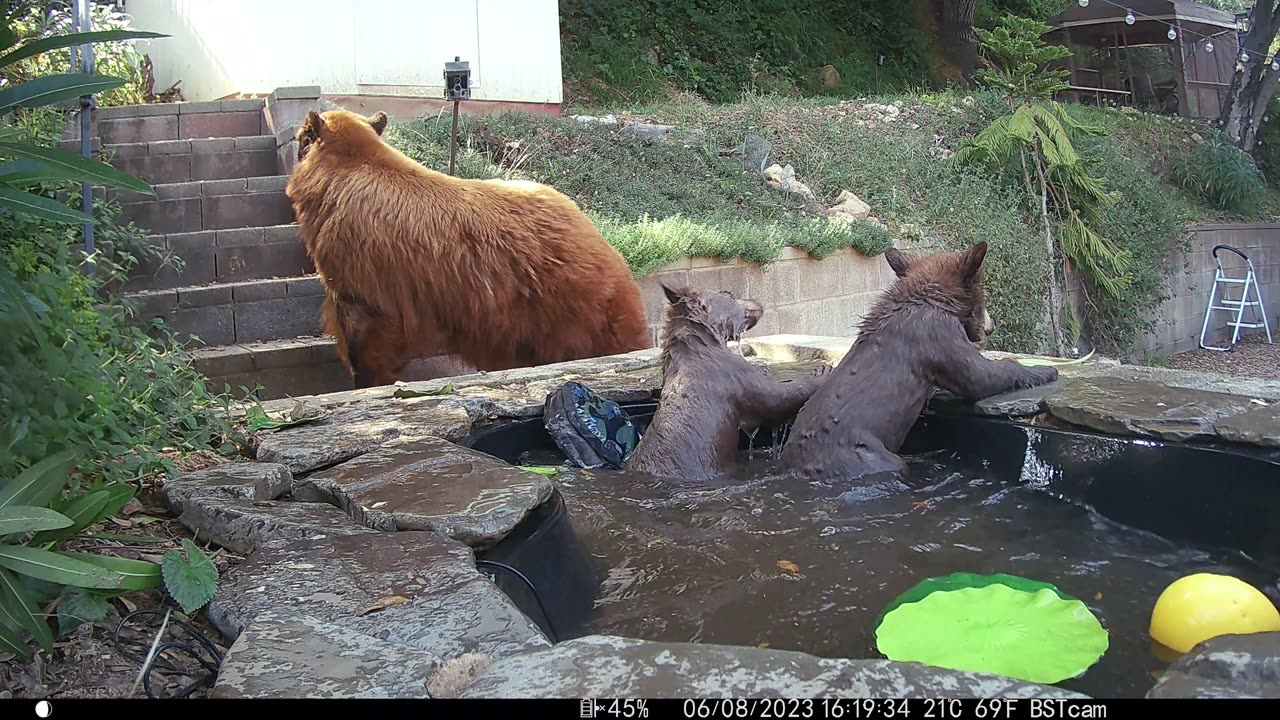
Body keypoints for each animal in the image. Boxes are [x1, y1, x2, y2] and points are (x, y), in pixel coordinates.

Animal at [286, 106, 655, 386]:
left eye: (300, 137)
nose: (295, 138)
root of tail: (606, 247)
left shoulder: (360, 268)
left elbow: (364, 334)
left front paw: (368, 378)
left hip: (566, 307)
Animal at [778, 240, 1059, 481]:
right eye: (983, 294)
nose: (990, 327)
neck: (931, 297)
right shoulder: (941, 336)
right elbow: (983, 375)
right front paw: (1045, 370)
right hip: (866, 456)